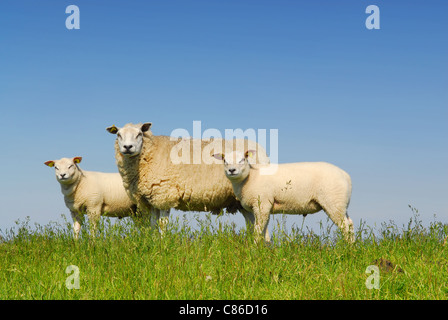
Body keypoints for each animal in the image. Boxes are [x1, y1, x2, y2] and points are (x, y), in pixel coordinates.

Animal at [107, 122, 272, 230]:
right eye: (118, 135)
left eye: (139, 134)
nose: (127, 147)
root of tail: (261, 151)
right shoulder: (151, 199)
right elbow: (153, 224)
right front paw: (154, 244)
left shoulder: (164, 194)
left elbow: (162, 224)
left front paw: (162, 246)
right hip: (242, 200)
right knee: (251, 224)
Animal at [212, 151, 356, 242]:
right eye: (225, 161)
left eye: (243, 160)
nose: (231, 170)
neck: (250, 177)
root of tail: (346, 175)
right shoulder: (263, 207)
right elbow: (263, 229)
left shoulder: (262, 204)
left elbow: (258, 229)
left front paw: (254, 247)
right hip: (341, 204)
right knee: (350, 224)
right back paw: (352, 246)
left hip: (333, 201)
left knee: (345, 226)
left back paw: (347, 249)